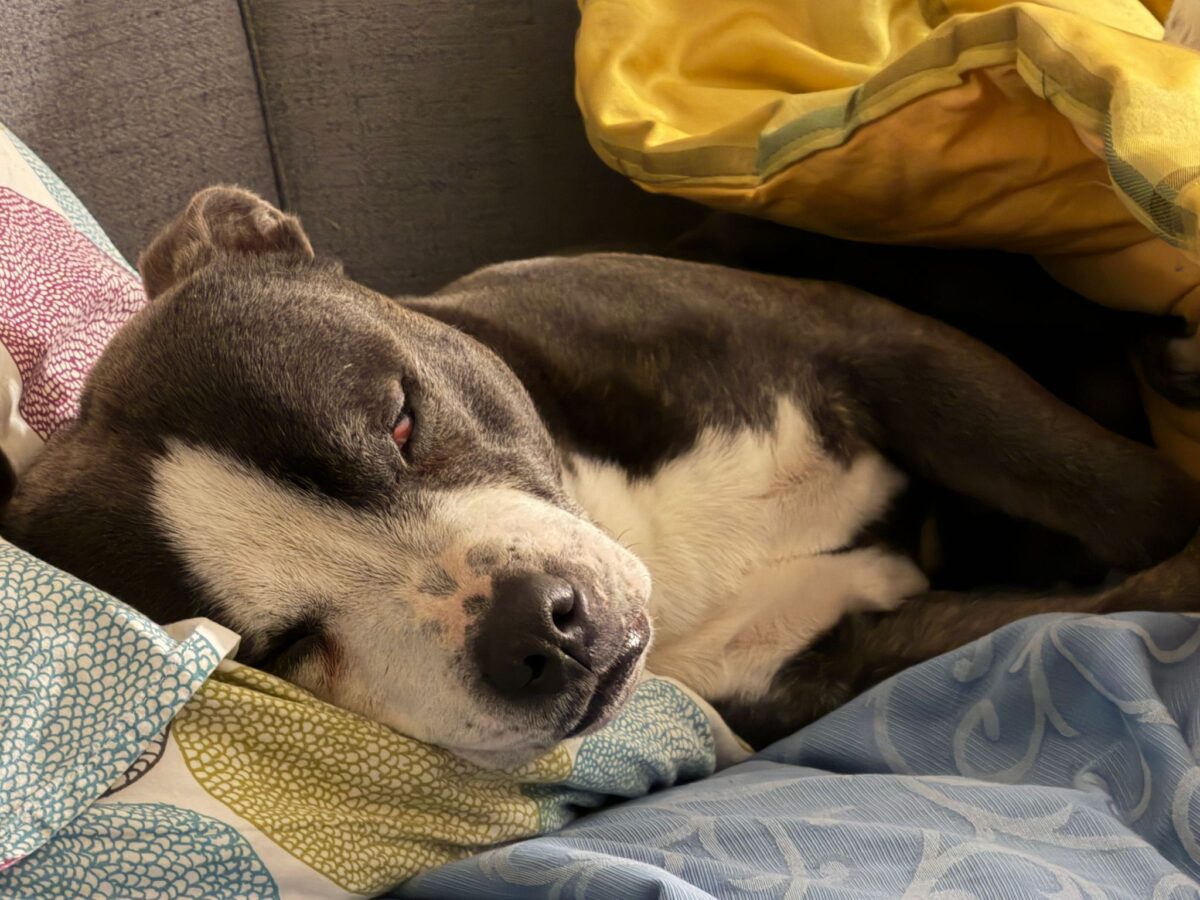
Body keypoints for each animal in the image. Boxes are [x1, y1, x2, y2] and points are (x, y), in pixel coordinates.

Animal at [4, 186, 1200, 765]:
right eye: (285, 651)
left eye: (401, 420)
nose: (535, 627)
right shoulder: (832, 667)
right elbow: (1074, 610)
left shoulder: (880, 347)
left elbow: (1106, 484)